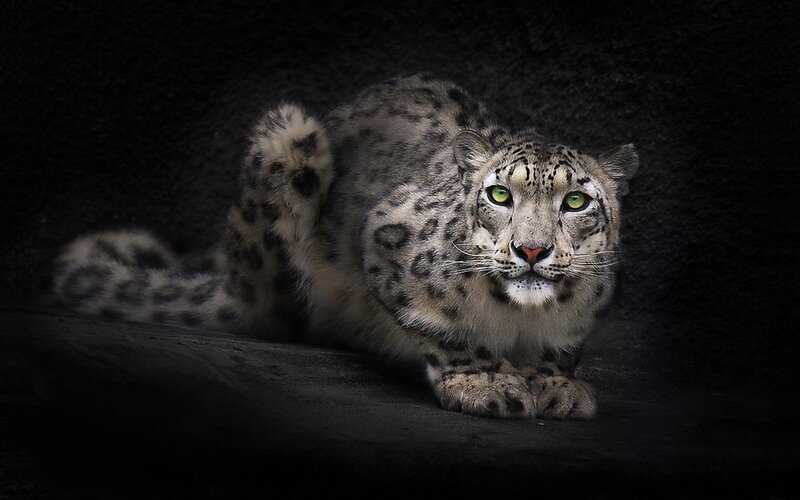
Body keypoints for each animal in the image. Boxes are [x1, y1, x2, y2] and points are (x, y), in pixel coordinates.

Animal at [51, 74, 638, 419]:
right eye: (499, 194)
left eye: (576, 201)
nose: (531, 251)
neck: (521, 317)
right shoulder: (387, 237)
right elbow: (443, 328)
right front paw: (487, 381)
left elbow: (560, 347)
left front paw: (555, 385)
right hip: (288, 142)